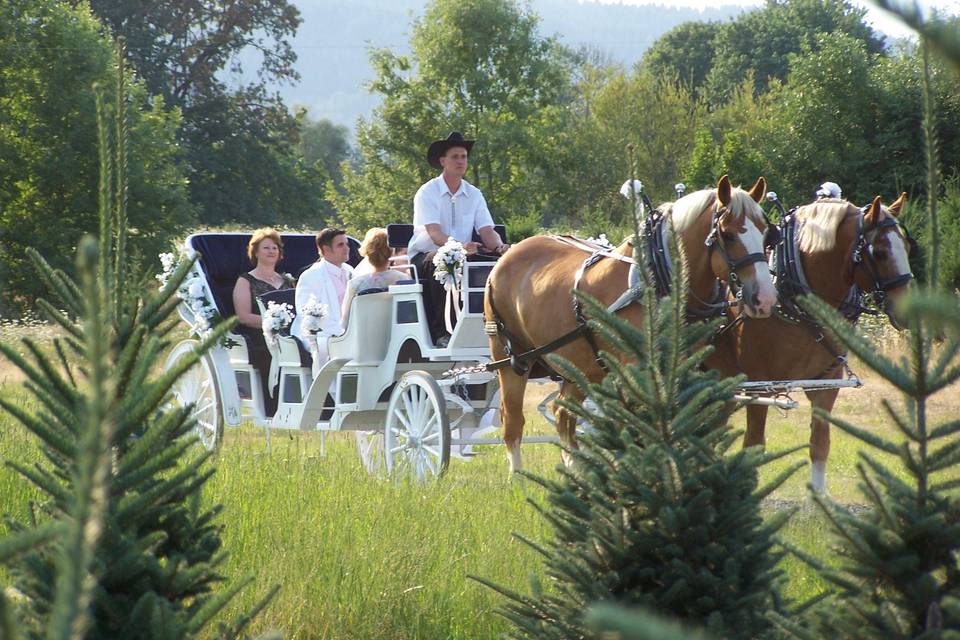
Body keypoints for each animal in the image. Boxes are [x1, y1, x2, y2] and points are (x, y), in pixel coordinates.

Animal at [484, 178, 776, 472]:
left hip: (577, 364)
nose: (765, 298)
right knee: (513, 421)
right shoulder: (633, 368)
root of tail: (508, 255)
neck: (656, 280)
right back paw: (519, 476)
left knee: (563, 413)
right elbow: (636, 427)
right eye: (727, 235)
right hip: (511, 357)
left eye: (765, 233)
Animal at [708, 192, 912, 492]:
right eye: (881, 253)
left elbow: (820, 443)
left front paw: (819, 497)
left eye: (907, 248)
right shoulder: (759, 385)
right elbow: (753, 445)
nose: (908, 310)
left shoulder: (827, 383)